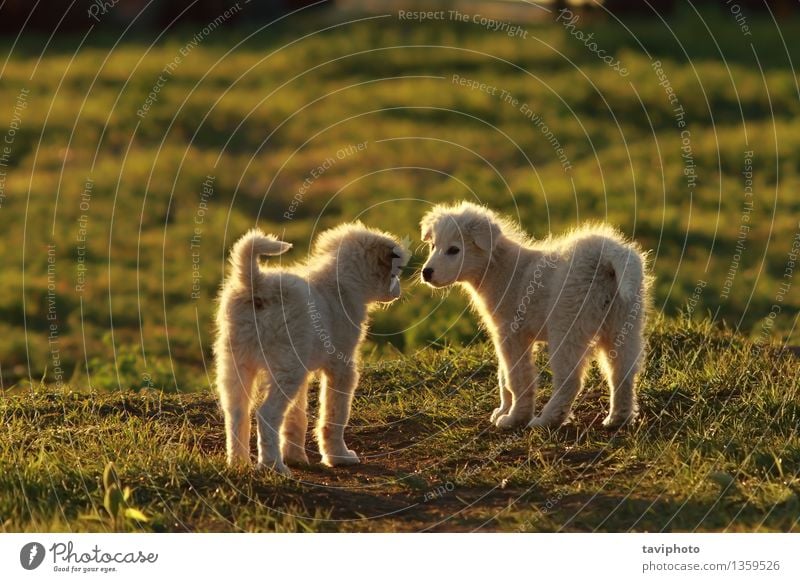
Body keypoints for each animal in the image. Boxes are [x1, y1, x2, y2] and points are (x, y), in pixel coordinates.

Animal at [214, 222, 406, 474]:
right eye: (395, 273)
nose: (399, 292)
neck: (342, 283)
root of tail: (258, 283)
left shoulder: (303, 371)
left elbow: (296, 417)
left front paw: (296, 457)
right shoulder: (341, 368)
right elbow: (334, 415)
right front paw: (338, 456)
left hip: (237, 366)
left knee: (236, 415)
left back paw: (238, 463)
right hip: (285, 371)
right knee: (266, 415)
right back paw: (274, 466)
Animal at [418, 203, 648, 432]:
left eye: (454, 250)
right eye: (433, 246)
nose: (426, 273)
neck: (499, 268)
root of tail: (606, 255)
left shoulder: (511, 334)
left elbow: (516, 378)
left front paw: (514, 418)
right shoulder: (506, 335)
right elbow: (503, 375)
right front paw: (503, 410)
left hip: (567, 326)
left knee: (570, 380)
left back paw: (545, 421)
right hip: (623, 325)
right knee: (623, 374)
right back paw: (618, 418)